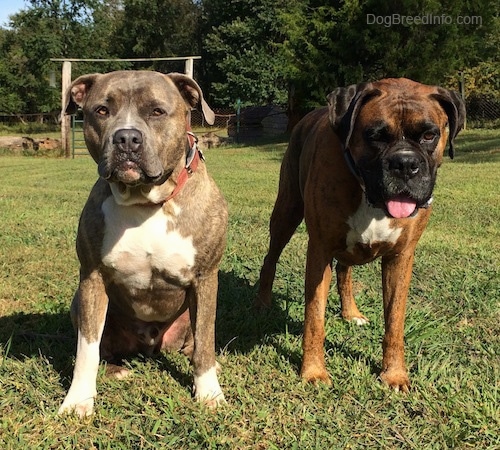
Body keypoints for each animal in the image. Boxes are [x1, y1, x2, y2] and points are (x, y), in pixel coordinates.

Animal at [58, 70, 229, 418]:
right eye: (101, 110)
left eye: (157, 111)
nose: (126, 138)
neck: (146, 202)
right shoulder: (92, 279)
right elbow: (86, 350)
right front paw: (78, 400)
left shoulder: (206, 279)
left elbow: (206, 340)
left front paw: (209, 393)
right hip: (78, 303)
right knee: (102, 348)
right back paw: (116, 369)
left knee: (195, 342)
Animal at [256, 77, 466, 390]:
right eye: (375, 135)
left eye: (429, 135)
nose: (405, 164)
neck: (371, 196)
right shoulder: (319, 251)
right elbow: (314, 318)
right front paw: (313, 371)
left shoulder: (400, 257)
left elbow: (395, 322)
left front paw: (394, 373)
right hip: (287, 211)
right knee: (271, 258)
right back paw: (263, 302)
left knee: (345, 271)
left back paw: (350, 313)